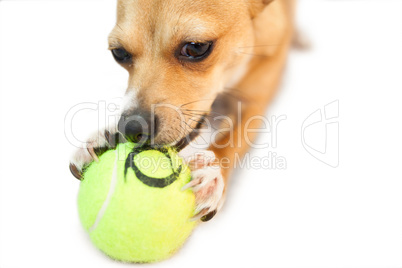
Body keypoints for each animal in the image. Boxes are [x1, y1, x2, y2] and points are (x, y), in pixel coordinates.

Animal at [69, 0, 296, 222]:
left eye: (196, 48)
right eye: (119, 53)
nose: (132, 128)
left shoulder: (254, 104)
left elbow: (234, 138)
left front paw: (214, 169)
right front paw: (108, 134)